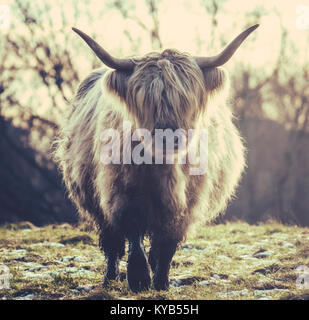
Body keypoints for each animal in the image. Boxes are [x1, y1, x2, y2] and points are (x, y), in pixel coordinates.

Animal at [54, 25, 258, 292]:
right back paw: (110, 278)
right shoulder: (123, 195)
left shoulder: (185, 206)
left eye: (185, 100)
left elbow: (166, 245)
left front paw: (161, 282)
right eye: (146, 100)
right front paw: (139, 279)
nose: (169, 137)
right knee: (112, 243)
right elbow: (134, 236)